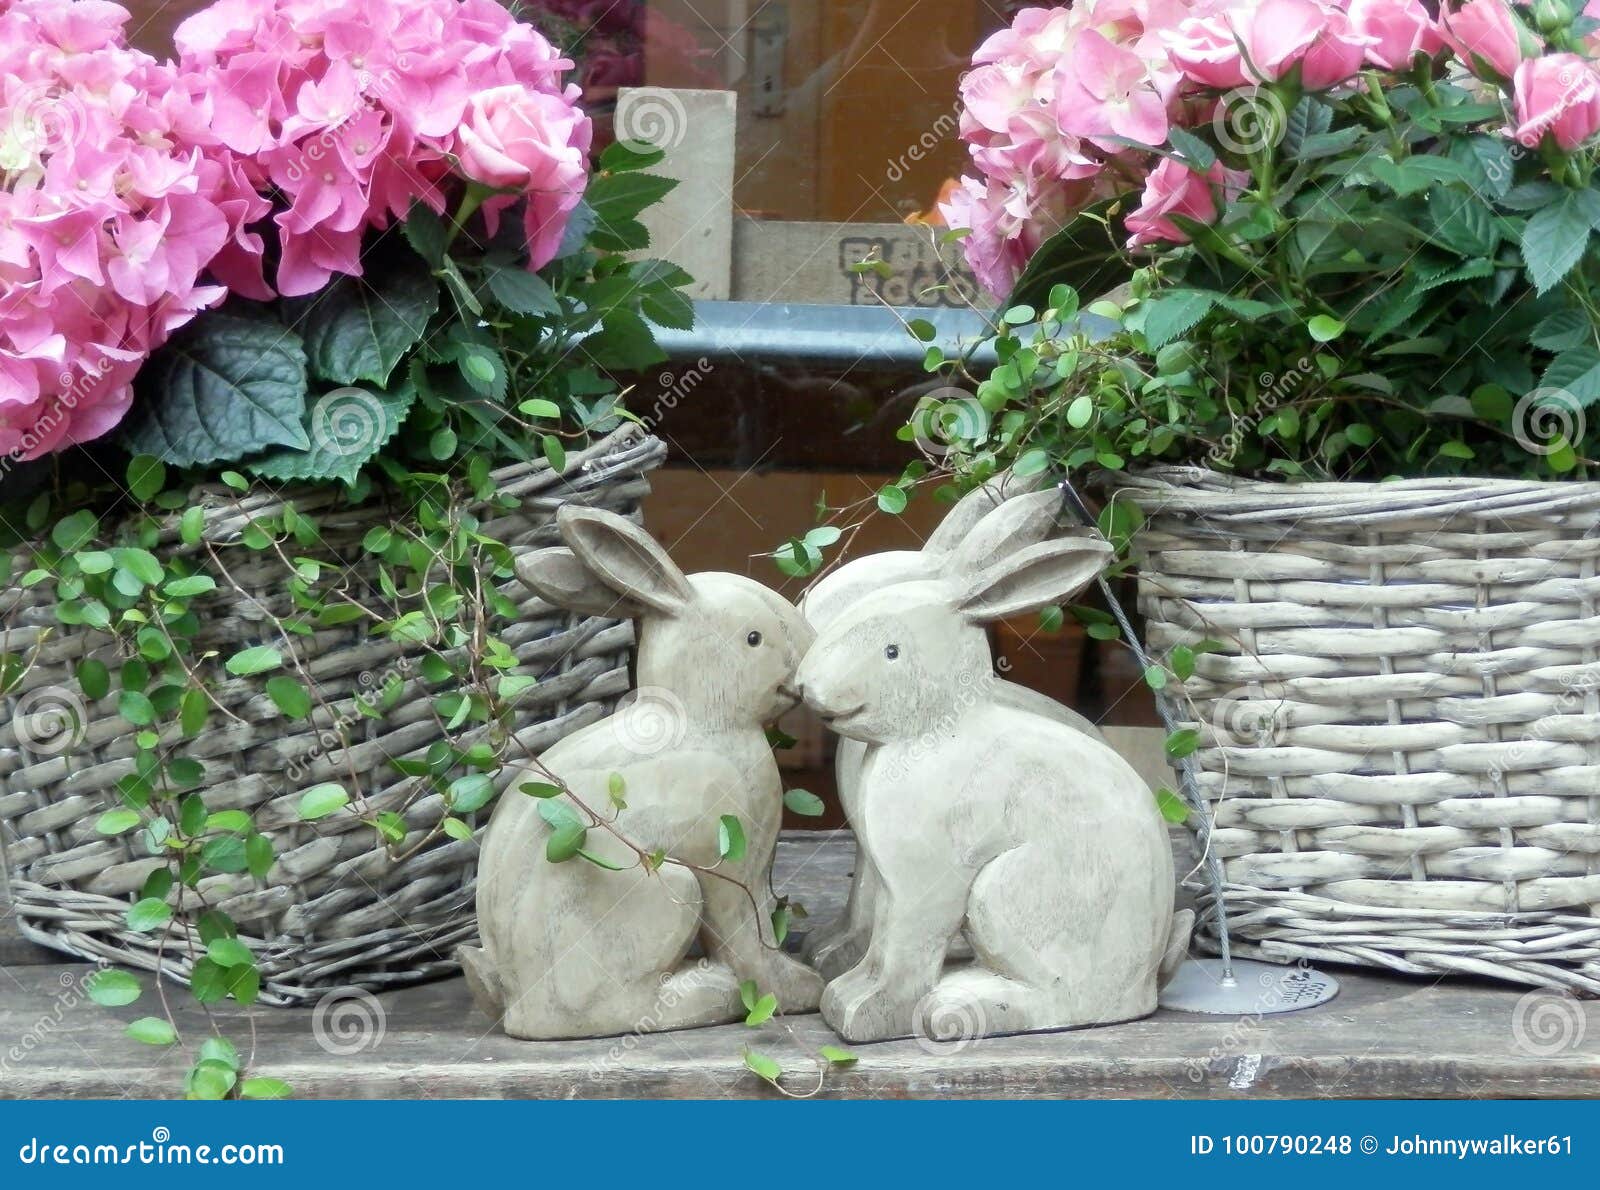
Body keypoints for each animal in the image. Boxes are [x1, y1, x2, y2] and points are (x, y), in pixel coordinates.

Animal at [461, 505, 825, 1040]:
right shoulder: (726, 870)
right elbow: (747, 940)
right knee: (613, 1009)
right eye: (754, 638)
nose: (801, 677)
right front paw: (796, 993)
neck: (700, 721)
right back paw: (706, 996)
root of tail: (517, 1009)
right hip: (667, 890)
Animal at [796, 534, 1191, 1044]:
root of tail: (1144, 988)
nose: (809, 688)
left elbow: (905, 950)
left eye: (892, 652)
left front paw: (869, 1012)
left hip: (1000, 893)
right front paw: (846, 996)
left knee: (1059, 999)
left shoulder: (926, 884)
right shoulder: (889, 884)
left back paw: (958, 1006)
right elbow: (880, 943)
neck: (933, 731)